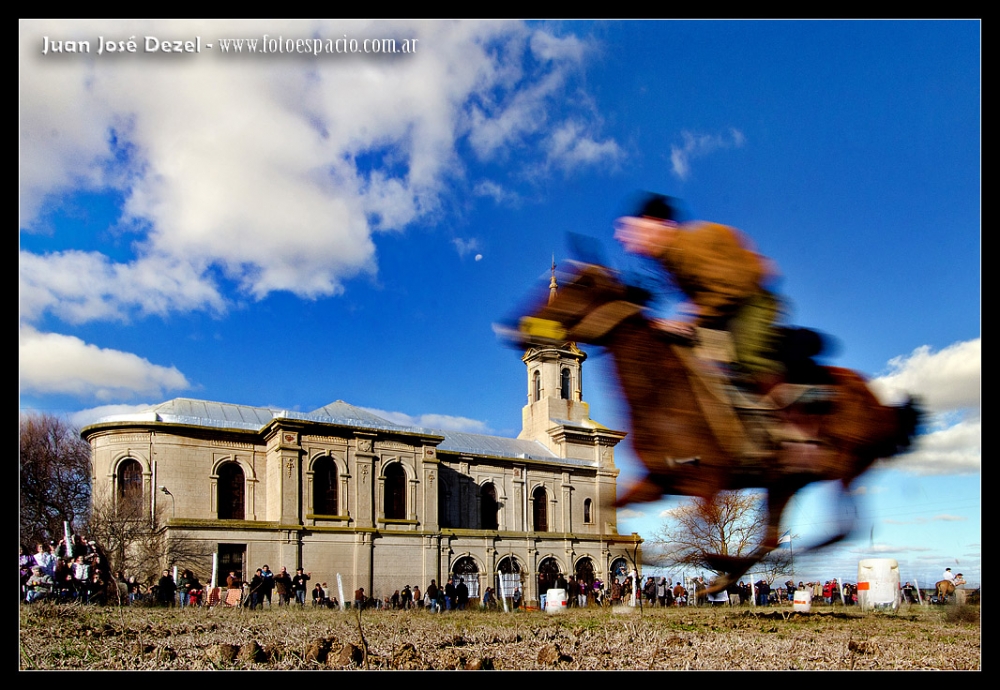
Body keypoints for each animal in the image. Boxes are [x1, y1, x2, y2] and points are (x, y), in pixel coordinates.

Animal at [516, 260, 920, 588]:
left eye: (584, 285)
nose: (525, 325)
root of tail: (876, 400)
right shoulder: (659, 480)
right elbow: (608, 517)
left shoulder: (706, 480)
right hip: (788, 481)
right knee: (794, 533)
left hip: (838, 466)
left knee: (838, 528)